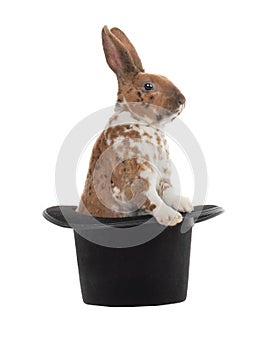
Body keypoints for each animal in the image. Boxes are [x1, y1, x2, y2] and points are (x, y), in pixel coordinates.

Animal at [77, 26, 194, 226]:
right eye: (148, 86)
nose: (182, 100)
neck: (144, 124)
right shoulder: (136, 179)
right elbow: (152, 200)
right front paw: (172, 218)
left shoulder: (163, 176)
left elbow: (169, 193)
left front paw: (185, 205)